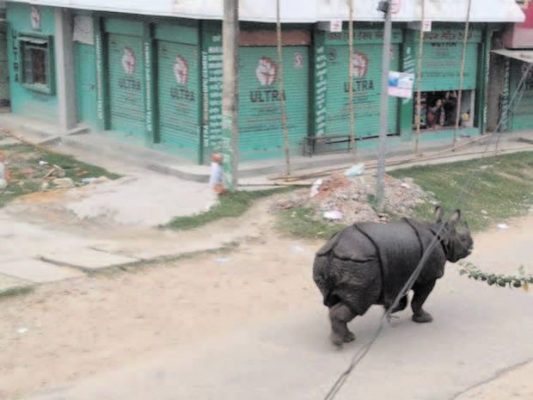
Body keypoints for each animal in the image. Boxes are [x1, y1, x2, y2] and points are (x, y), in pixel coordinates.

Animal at [314, 208, 472, 346]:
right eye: (463, 239)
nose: (472, 245)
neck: (443, 234)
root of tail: (334, 246)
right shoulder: (429, 277)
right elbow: (419, 300)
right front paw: (425, 319)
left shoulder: (401, 274)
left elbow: (403, 298)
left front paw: (390, 310)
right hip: (359, 264)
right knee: (359, 302)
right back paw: (339, 342)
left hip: (330, 260)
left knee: (337, 301)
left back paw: (347, 338)